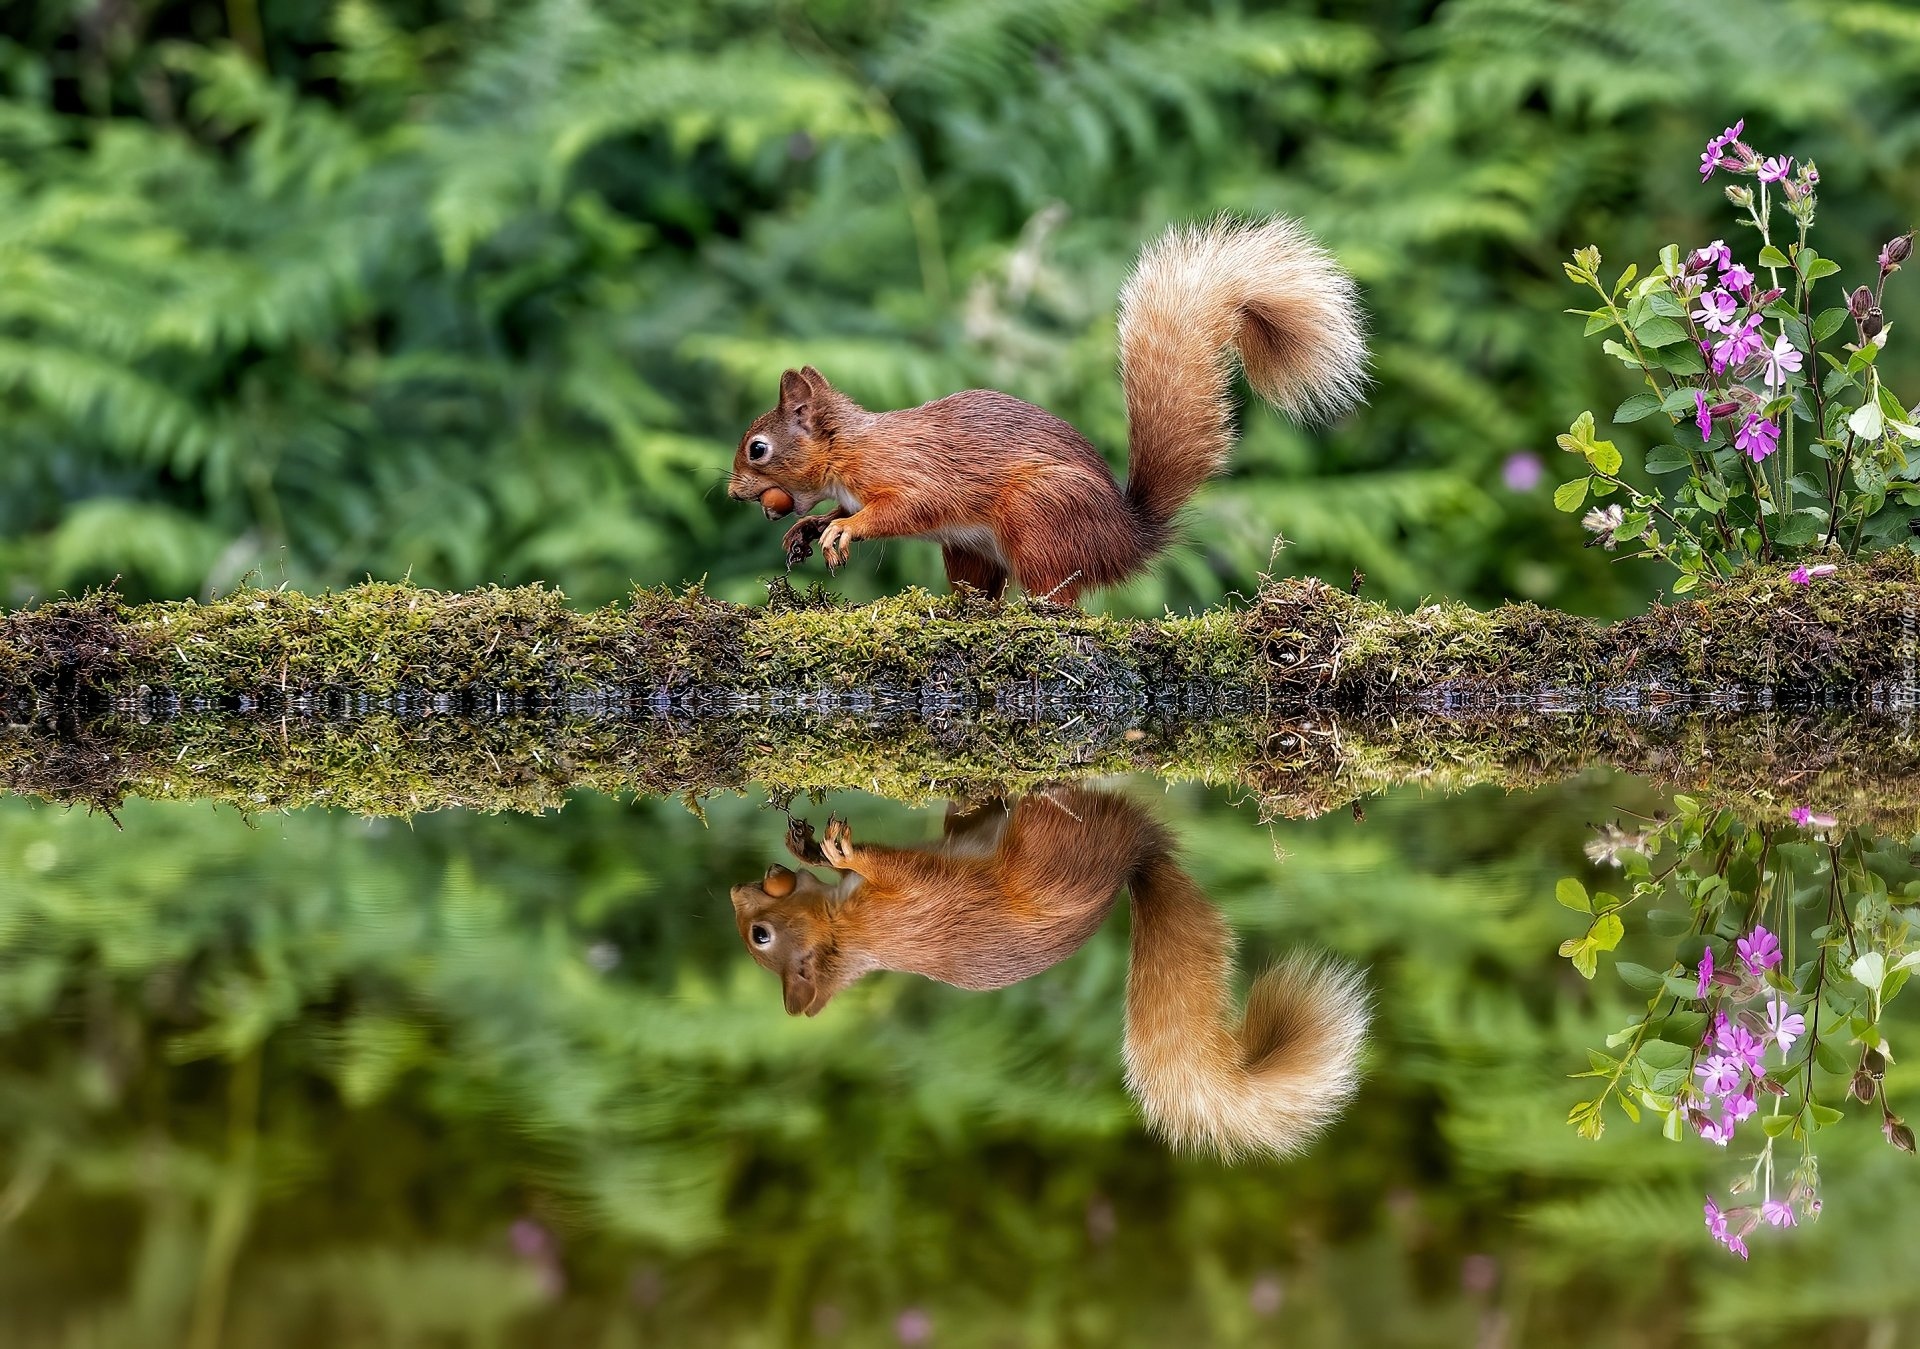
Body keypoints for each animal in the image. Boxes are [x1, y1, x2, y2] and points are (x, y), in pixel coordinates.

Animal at [721, 214, 1367, 602]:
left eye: (759, 449)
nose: (731, 492)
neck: (848, 448)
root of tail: (1124, 540)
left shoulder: (906, 472)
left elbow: (906, 507)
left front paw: (843, 529)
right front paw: (809, 528)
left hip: (1037, 517)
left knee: (1059, 600)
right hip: (971, 548)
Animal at [725, 790, 1374, 1159]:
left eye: (760, 934)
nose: (736, 891)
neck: (844, 931)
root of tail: (1134, 854)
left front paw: (810, 846)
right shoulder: (902, 902)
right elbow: (894, 866)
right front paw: (837, 850)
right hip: (1051, 838)